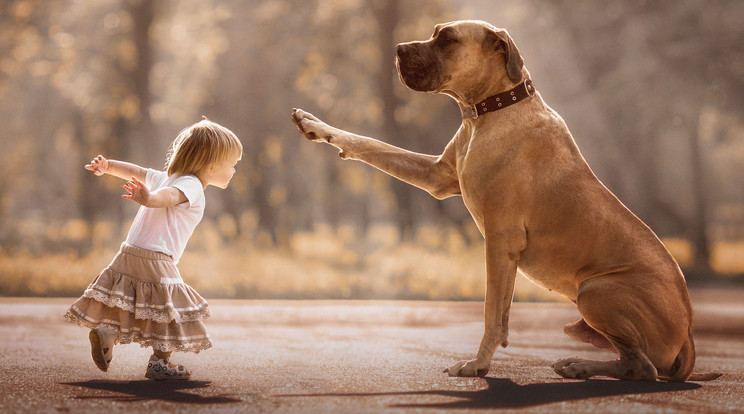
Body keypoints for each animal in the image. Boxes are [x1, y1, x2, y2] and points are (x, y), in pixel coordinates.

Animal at [290, 19, 716, 382]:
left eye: (447, 39)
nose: (397, 48)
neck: (488, 110)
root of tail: (690, 333)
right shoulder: (437, 177)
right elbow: (371, 144)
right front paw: (315, 124)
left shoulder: (500, 240)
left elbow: (492, 311)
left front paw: (478, 364)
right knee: (631, 361)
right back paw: (579, 363)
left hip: (595, 291)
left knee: (643, 367)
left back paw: (580, 366)